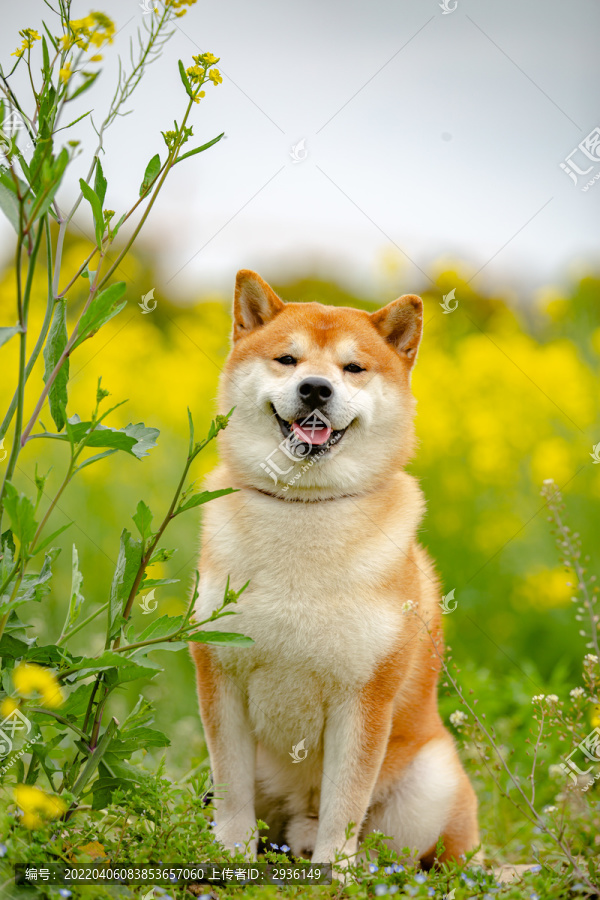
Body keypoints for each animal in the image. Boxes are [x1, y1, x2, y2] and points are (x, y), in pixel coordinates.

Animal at [191, 270, 478, 868]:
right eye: (287, 359)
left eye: (353, 368)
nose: (316, 389)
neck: (305, 513)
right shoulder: (220, 679)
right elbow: (232, 792)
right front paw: (230, 855)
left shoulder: (364, 699)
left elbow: (344, 803)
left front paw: (334, 872)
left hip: (430, 786)